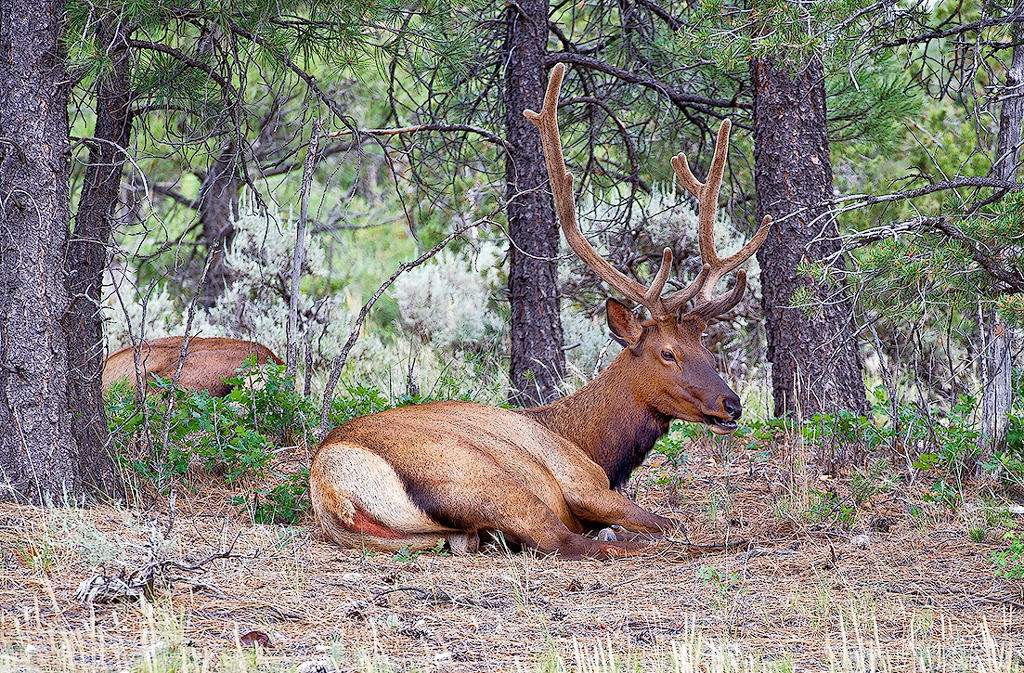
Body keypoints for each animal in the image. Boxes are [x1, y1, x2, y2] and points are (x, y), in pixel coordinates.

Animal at [307, 64, 770, 557]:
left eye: (707, 350)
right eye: (668, 353)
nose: (732, 404)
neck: (590, 442)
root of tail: (332, 484)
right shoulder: (585, 482)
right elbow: (665, 521)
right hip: (484, 478)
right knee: (570, 540)